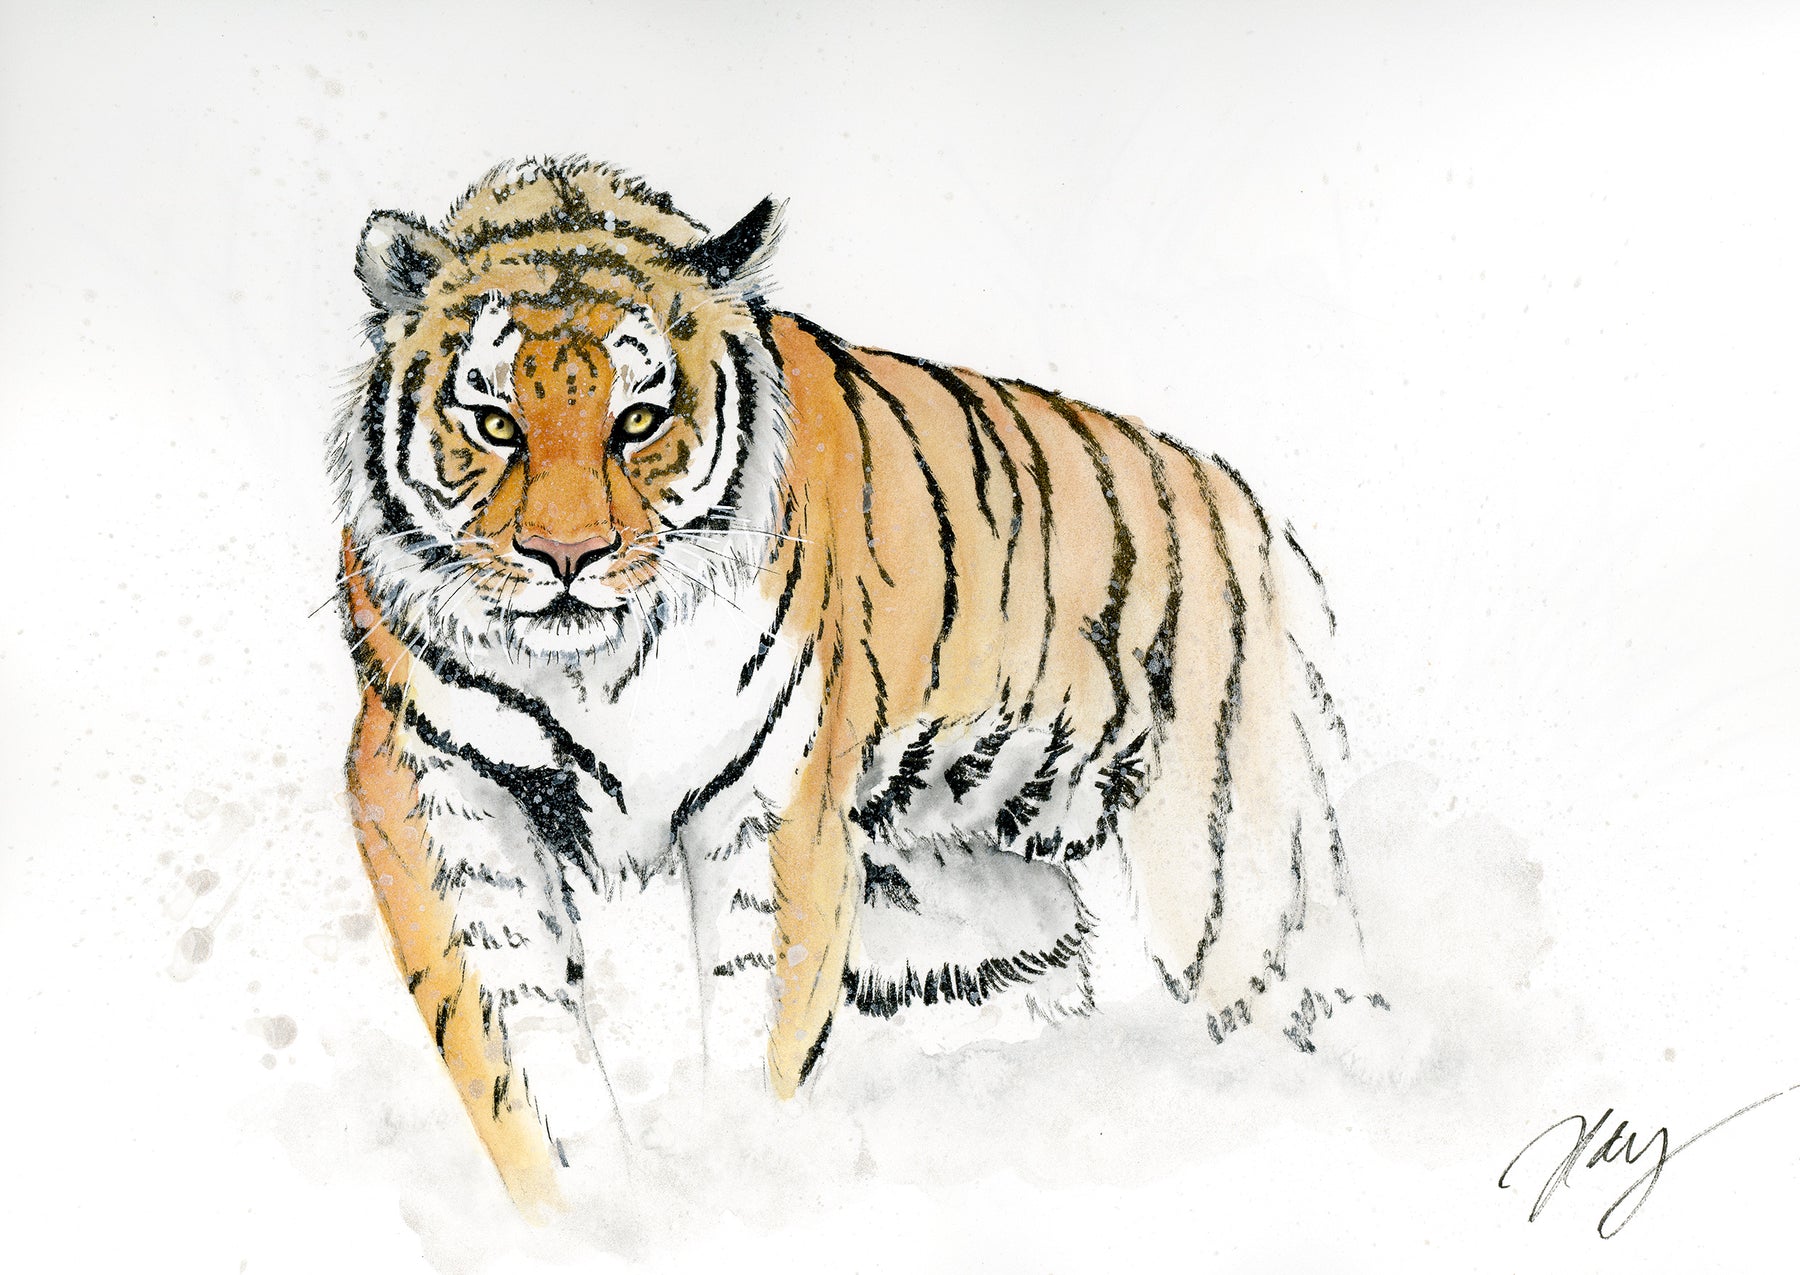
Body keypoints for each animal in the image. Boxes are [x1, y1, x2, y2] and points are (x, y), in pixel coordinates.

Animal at [333, 157, 1382, 1216]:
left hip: (1241, 881)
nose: (566, 556)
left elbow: (755, 1021)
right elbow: (521, 1048)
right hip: (973, 931)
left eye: (638, 422)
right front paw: (596, 1210)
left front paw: (731, 1177)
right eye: (494, 423)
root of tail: (1242, 503)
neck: (599, 664)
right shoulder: (431, 782)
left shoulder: (770, 805)